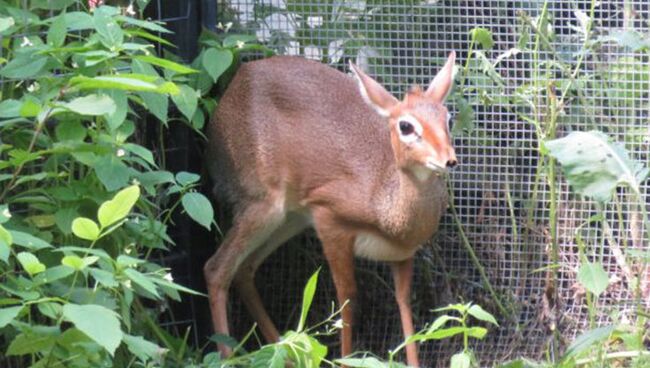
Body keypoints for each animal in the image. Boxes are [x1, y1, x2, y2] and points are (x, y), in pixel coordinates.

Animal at [202, 51, 456, 366]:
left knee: (244, 270)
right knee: (216, 269)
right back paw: (227, 356)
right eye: (406, 126)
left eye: (448, 118)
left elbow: (403, 302)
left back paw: (284, 353)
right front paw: (346, 359)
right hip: (262, 207)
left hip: (290, 219)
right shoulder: (331, 223)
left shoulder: (402, 255)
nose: (448, 159)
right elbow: (347, 298)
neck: (387, 206)